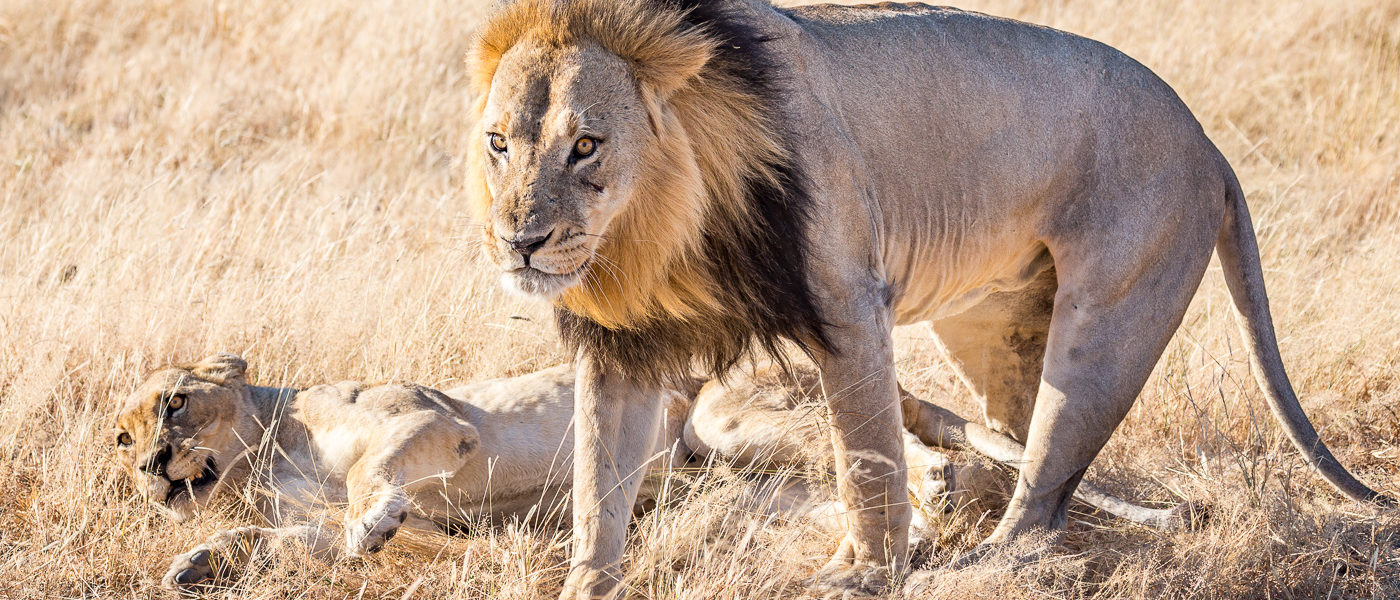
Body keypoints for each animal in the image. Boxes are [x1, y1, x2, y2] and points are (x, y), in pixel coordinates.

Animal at [467, 0, 1388, 593]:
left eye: (587, 145)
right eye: (498, 143)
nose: (520, 241)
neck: (658, 234)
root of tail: (1211, 144)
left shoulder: (847, 304)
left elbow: (867, 455)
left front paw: (864, 575)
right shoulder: (621, 345)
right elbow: (597, 489)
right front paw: (585, 584)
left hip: (1108, 321)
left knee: (1040, 502)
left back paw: (968, 570)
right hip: (993, 327)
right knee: (1029, 463)